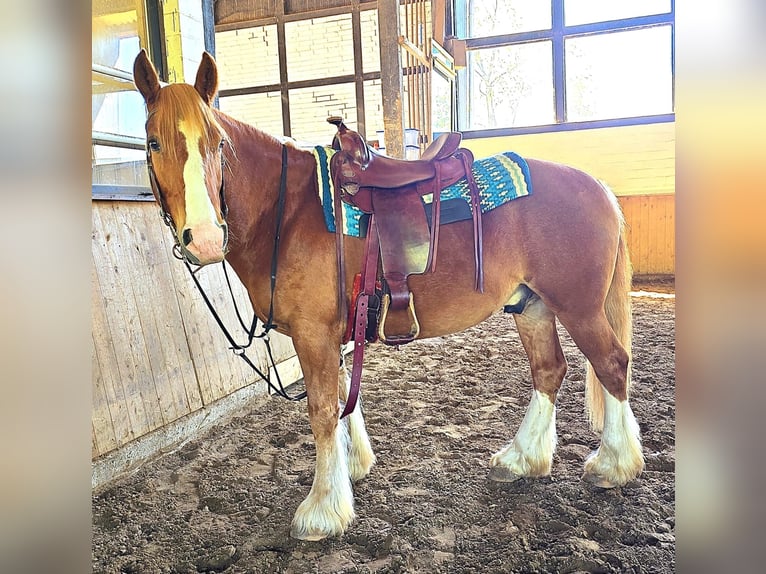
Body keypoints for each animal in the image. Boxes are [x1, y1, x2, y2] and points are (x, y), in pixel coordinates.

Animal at [133, 50, 644, 541]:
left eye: (218, 143)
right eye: (153, 142)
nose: (204, 239)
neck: (287, 211)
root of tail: (598, 187)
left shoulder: (313, 334)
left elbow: (322, 411)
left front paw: (322, 510)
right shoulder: (335, 333)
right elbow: (345, 396)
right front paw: (353, 467)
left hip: (578, 307)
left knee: (611, 365)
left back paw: (613, 465)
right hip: (531, 305)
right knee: (548, 370)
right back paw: (521, 459)